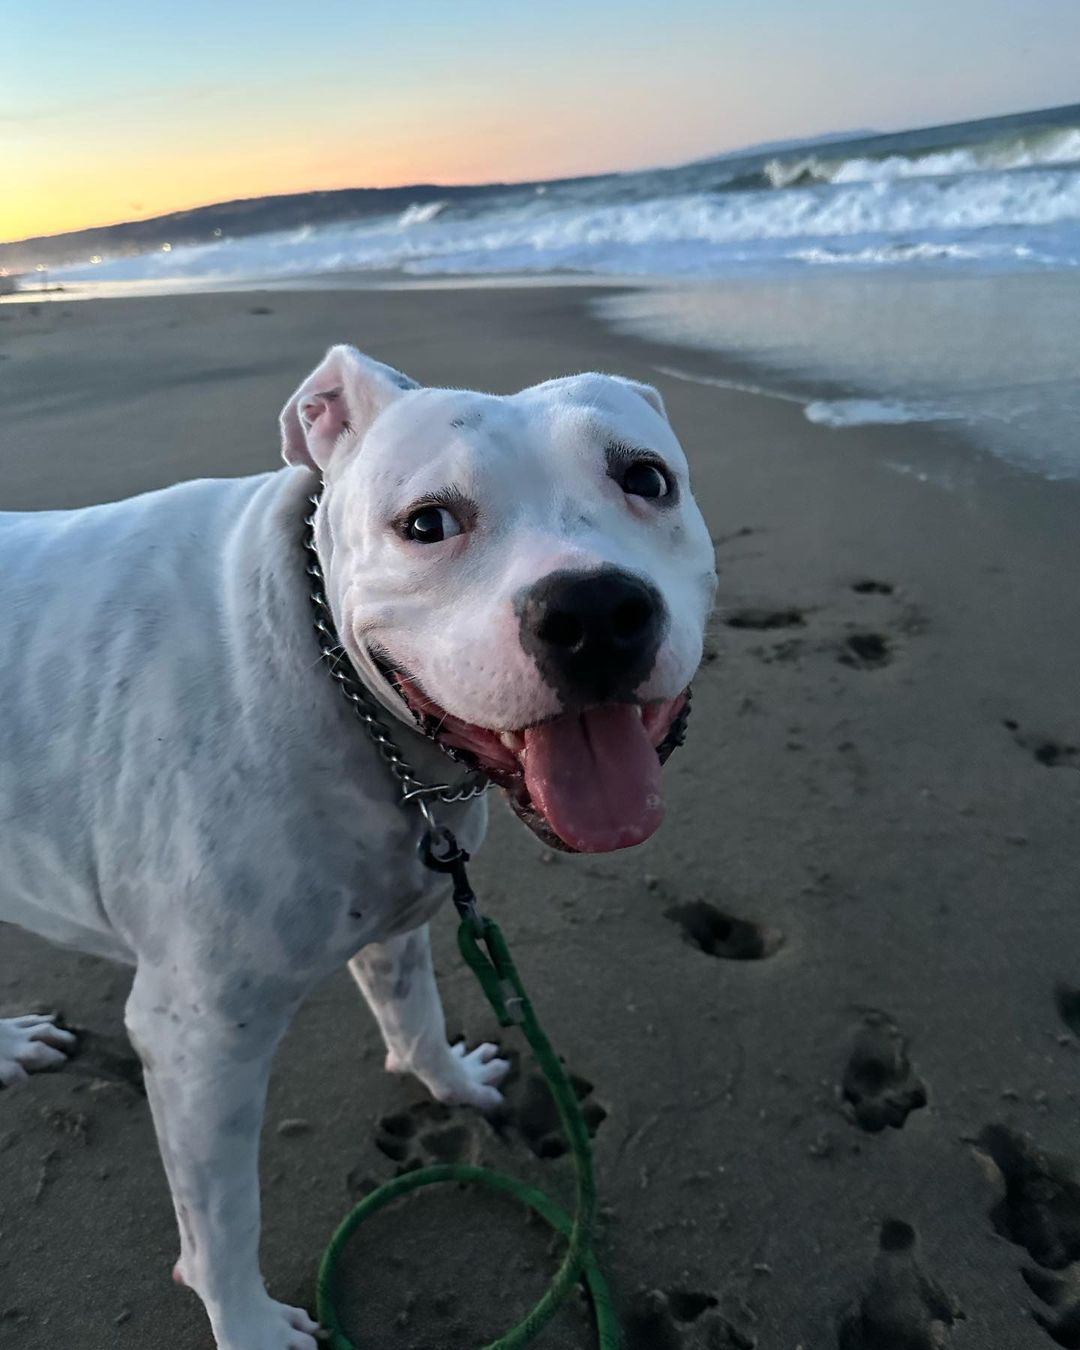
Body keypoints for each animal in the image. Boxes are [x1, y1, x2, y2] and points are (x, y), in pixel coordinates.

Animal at [0, 351, 718, 1350]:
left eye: (646, 479)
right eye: (427, 523)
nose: (594, 609)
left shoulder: (401, 907)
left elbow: (411, 1011)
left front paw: (450, 1081)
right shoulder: (198, 1040)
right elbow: (222, 1225)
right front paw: (249, 1326)